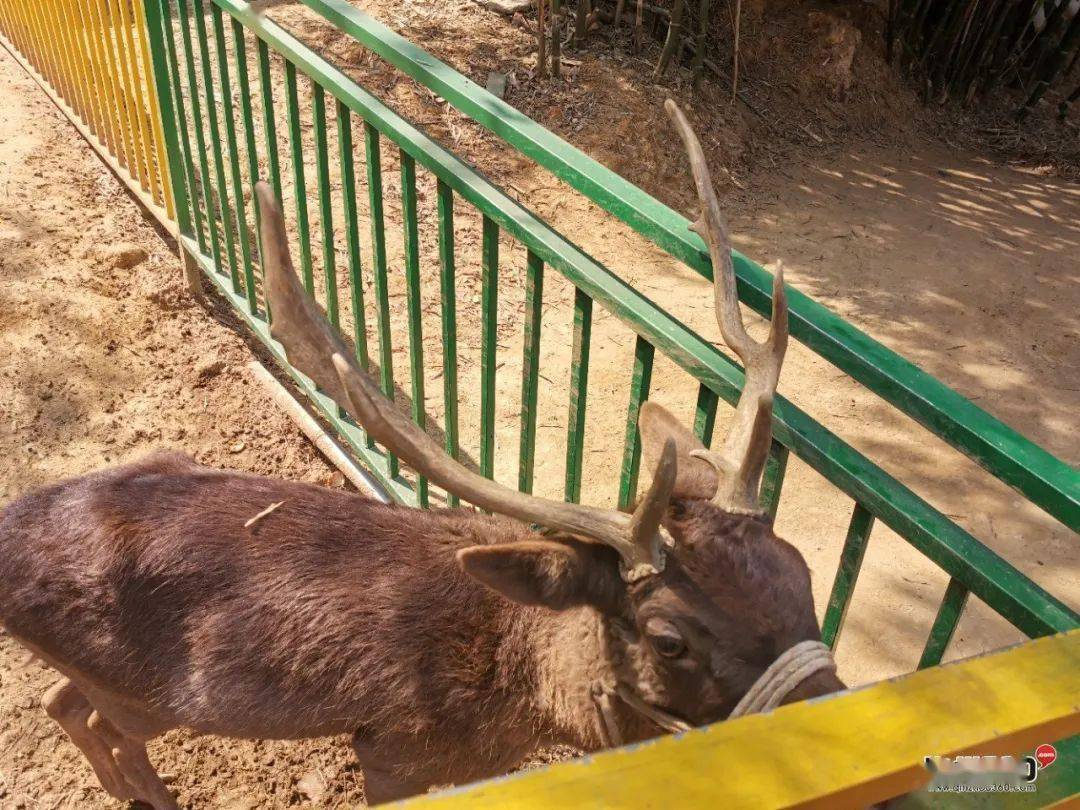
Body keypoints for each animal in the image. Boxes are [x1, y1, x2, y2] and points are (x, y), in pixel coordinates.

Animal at [0, 103, 842, 810]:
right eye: (669, 638)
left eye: (801, 572)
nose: (839, 716)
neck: (526, 702)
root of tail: (11, 529)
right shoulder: (395, 751)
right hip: (141, 693)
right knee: (89, 717)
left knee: (59, 700)